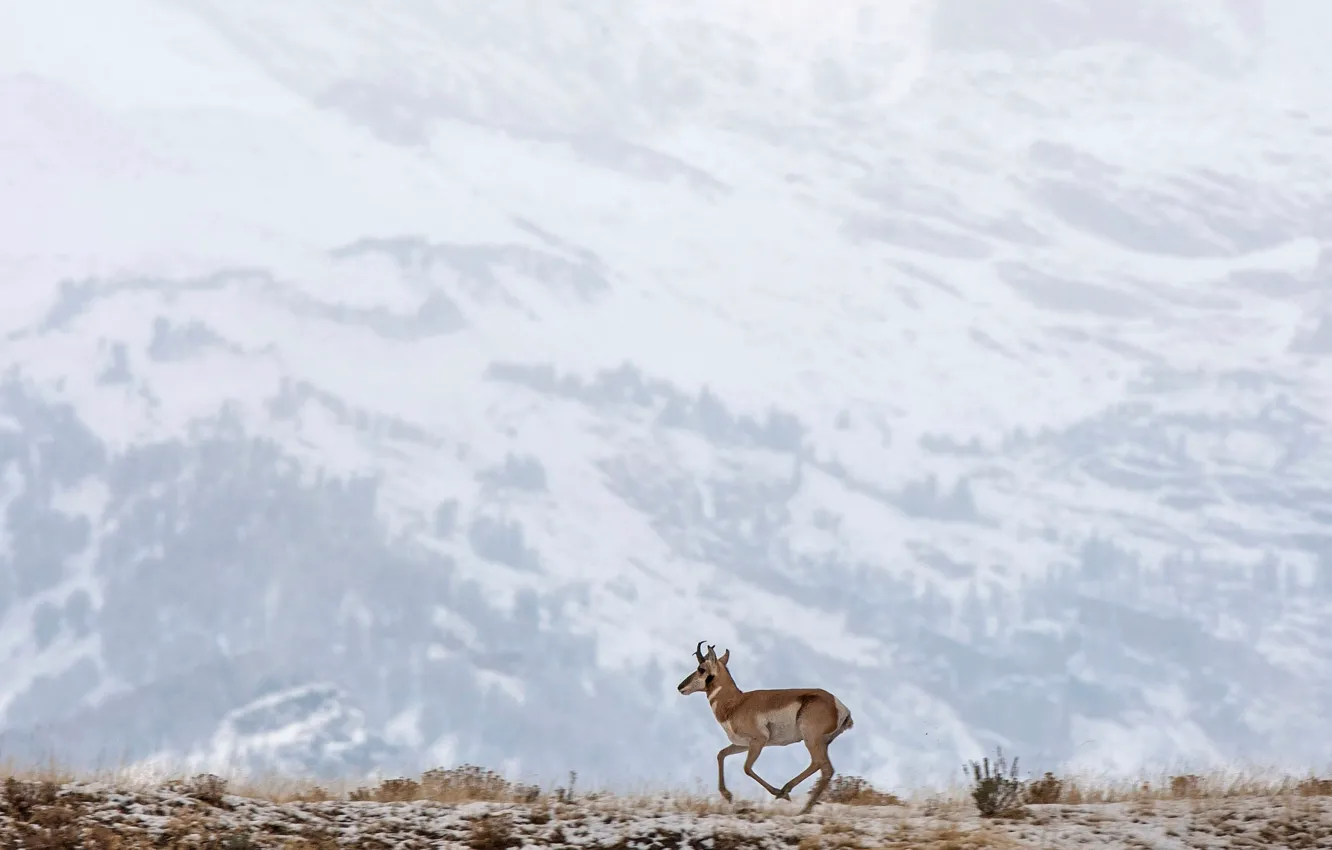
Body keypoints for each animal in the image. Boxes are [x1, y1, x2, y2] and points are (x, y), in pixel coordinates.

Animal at [677, 641, 854, 814]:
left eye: (701, 669)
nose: (680, 687)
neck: (736, 703)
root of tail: (839, 705)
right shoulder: (742, 745)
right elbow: (721, 754)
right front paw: (727, 795)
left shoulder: (759, 741)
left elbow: (747, 768)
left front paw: (776, 792)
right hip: (821, 743)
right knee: (826, 769)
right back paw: (802, 805)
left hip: (811, 739)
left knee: (819, 764)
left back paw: (790, 797)